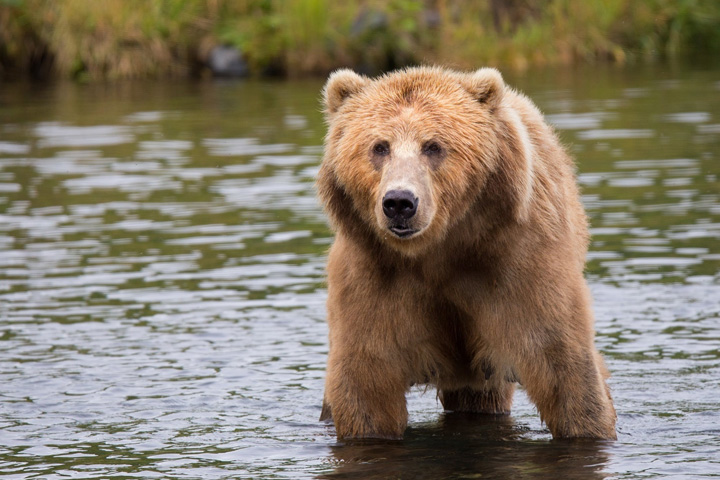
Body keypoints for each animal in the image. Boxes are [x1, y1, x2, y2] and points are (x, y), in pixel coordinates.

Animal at [318, 65, 616, 440]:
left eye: (433, 146)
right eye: (379, 147)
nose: (399, 202)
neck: (439, 249)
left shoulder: (519, 263)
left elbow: (561, 361)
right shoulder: (374, 275)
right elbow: (366, 380)